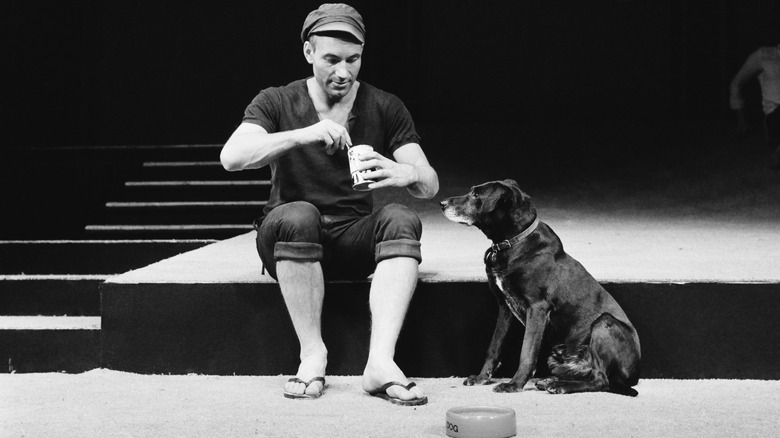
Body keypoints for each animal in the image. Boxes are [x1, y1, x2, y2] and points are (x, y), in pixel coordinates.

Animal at [438, 180, 640, 396]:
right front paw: (482, 377)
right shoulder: (505, 307)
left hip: (604, 324)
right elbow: (494, 347)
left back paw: (559, 385)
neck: (512, 242)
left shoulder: (537, 308)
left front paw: (514, 384)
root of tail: (634, 375)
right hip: (558, 355)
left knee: (601, 380)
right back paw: (550, 381)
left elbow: (526, 352)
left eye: (476, 195)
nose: (442, 203)